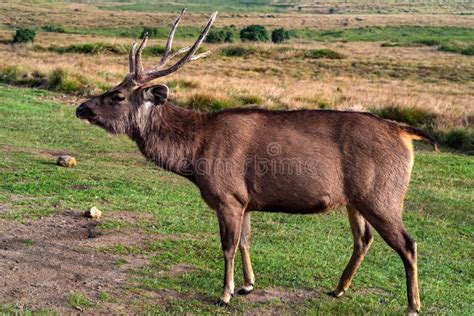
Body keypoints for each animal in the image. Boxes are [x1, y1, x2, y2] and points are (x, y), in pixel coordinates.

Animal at [75, 9, 436, 314]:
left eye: (118, 95)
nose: (81, 108)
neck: (194, 154)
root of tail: (405, 133)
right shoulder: (246, 199)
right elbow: (247, 242)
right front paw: (248, 285)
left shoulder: (227, 195)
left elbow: (228, 246)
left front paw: (224, 293)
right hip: (355, 199)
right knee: (363, 239)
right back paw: (338, 289)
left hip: (382, 194)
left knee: (408, 243)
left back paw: (412, 305)